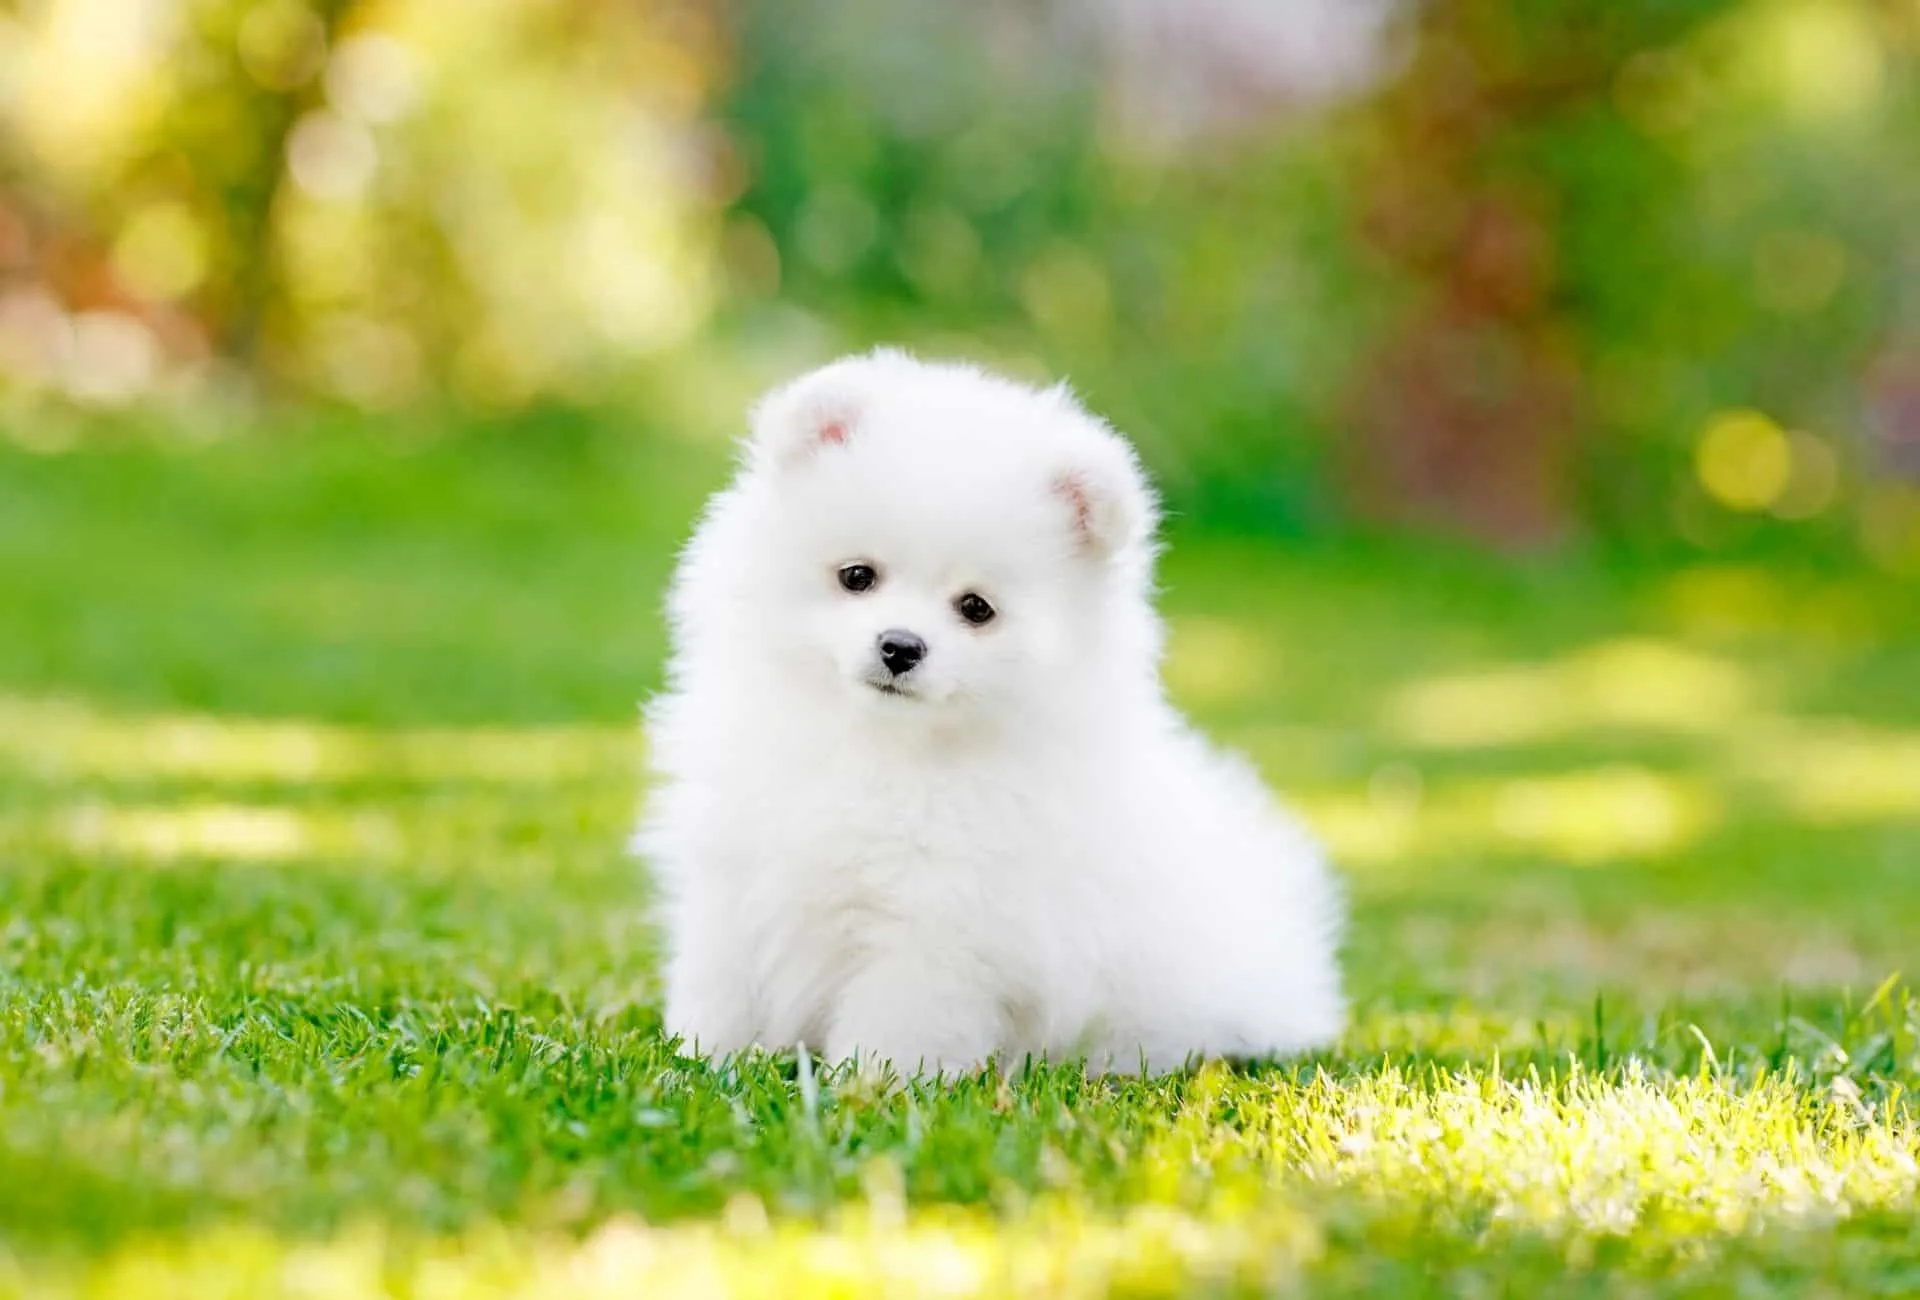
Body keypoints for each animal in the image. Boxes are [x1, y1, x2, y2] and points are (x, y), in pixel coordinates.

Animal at [637, 347, 1344, 1075]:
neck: (881, 748)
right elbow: (722, 983)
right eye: (857, 576)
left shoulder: (940, 926)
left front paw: (869, 1083)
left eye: (975, 608)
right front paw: (704, 1058)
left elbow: (898, 1018)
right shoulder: (734, 879)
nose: (900, 646)